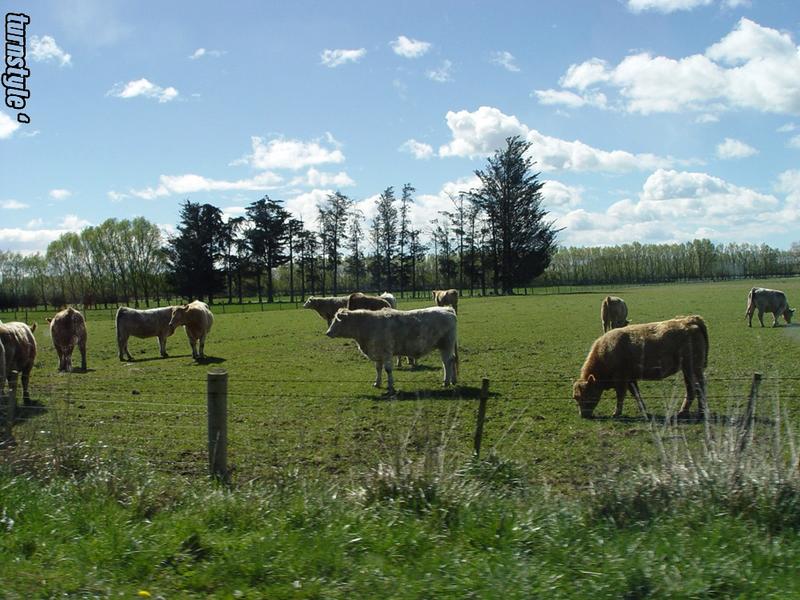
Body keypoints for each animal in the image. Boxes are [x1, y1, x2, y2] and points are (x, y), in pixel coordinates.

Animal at [325, 307, 458, 393]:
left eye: (337, 320)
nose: (328, 332)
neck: (367, 325)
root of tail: (447, 309)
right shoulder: (378, 354)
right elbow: (378, 369)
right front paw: (377, 383)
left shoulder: (386, 353)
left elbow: (388, 369)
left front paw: (390, 385)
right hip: (445, 347)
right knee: (450, 361)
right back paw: (451, 380)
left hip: (446, 345)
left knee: (447, 362)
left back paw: (446, 382)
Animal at [573, 315, 708, 420]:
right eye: (575, 397)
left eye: (587, 394)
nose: (583, 415)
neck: (605, 354)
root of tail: (689, 320)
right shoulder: (631, 379)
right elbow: (636, 394)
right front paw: (644, 411)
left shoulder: (621, 380)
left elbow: (620, 396)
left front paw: (616, 413)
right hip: (688, 370)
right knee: (693, 389)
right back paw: (687, 412)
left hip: (692, 368)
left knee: (697, 388)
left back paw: (697, 413)